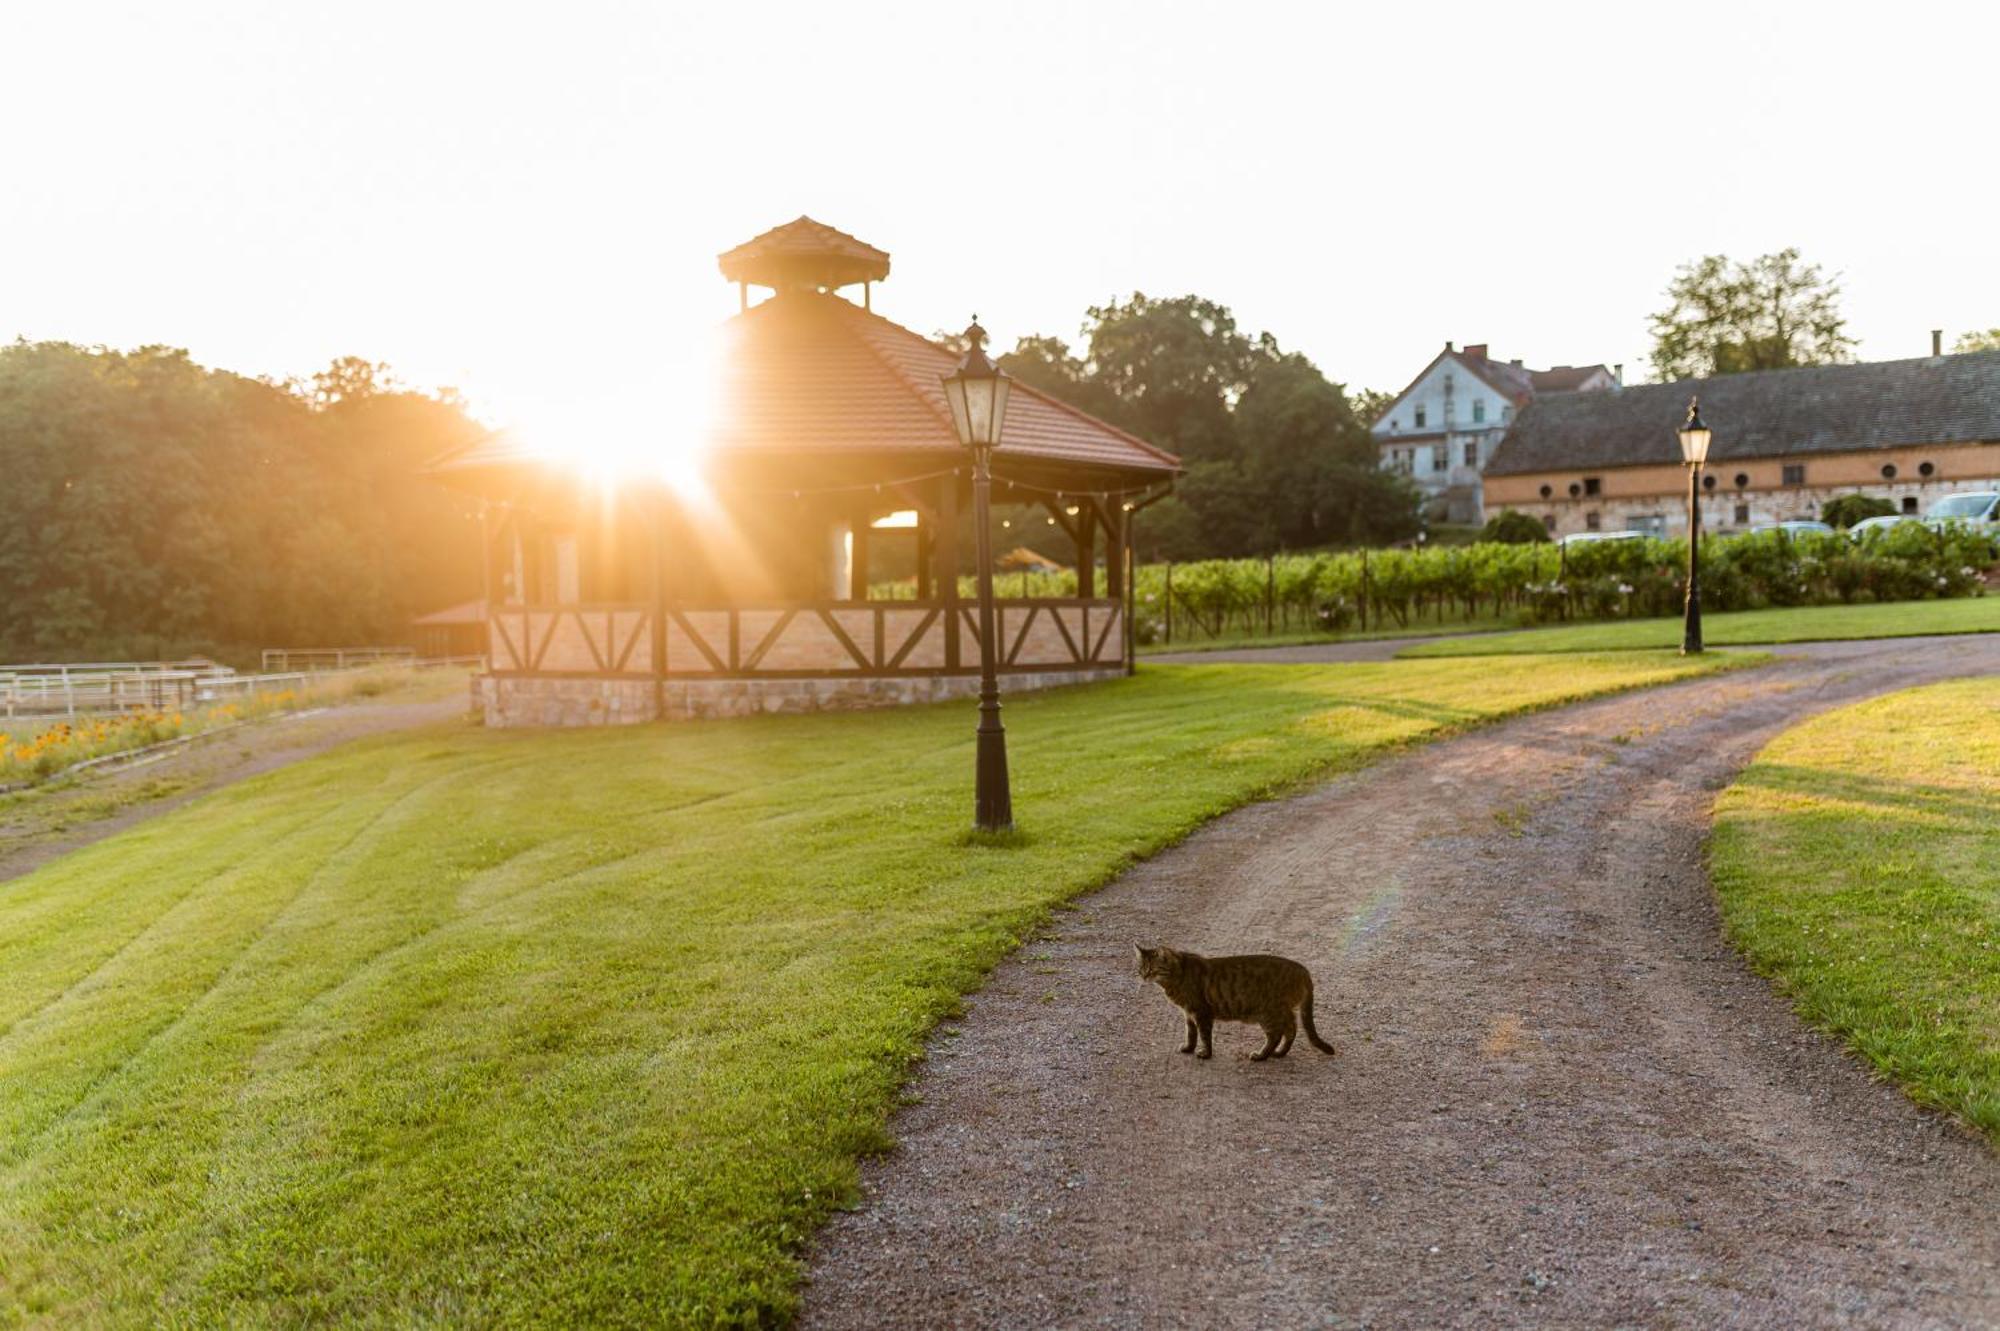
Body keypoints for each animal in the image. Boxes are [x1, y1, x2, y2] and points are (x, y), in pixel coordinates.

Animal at [1136, 943, 1336, 1055]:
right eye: (1141, 968)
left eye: (1152, 969)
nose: (1144, 976)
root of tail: (1304, 970)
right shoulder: (1188, 1013)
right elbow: (1191, 1034)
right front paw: (1188, 1048)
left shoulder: (1201, 1011)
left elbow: (1204, 1035)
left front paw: (1205, 1053)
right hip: (1281, 1011)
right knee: (1291, 1029)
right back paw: (1280, 1053)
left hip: (1268, 1013)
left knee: (1277, 1034)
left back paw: (1261, 1055)